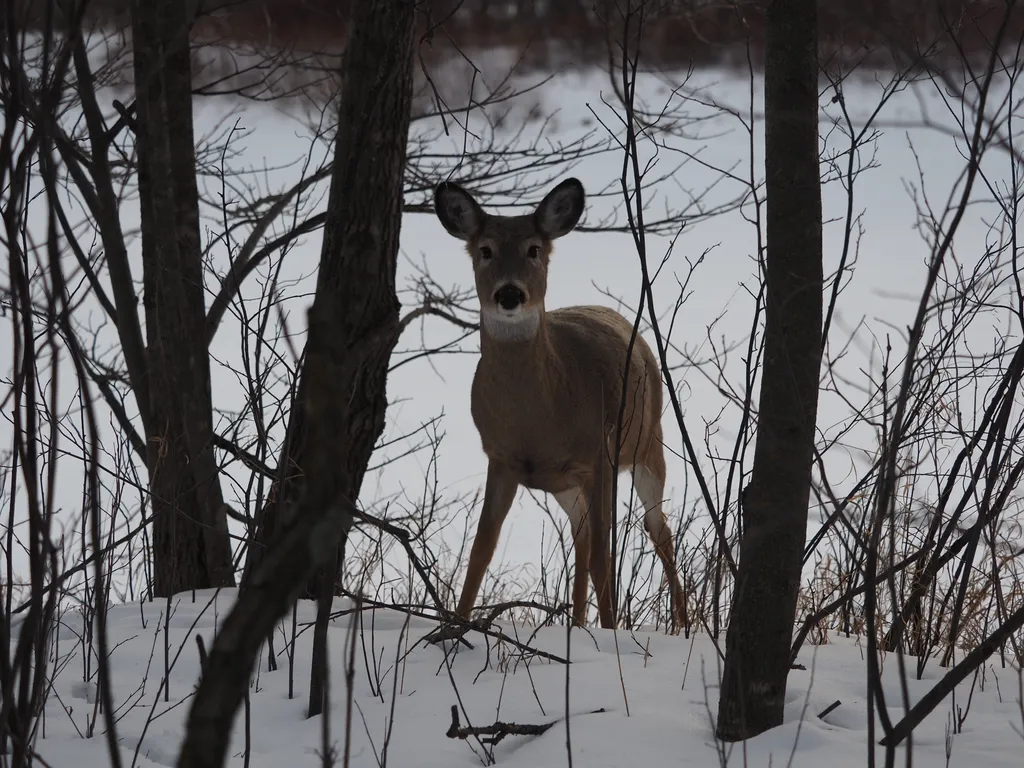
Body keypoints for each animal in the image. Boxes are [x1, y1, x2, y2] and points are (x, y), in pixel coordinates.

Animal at [432, 176, 688, 630]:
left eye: (534, 249)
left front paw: (611, 632)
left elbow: (606, 558)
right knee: (581, 534)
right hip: (564, 482)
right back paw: (579, 622)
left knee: (657, 529)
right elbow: (481, 550)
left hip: (647, 442)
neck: (539, 419)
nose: (510, 293)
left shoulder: (600, 455)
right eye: (485, 249)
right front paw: (456, 627)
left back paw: (682, 623)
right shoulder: (501, 459)